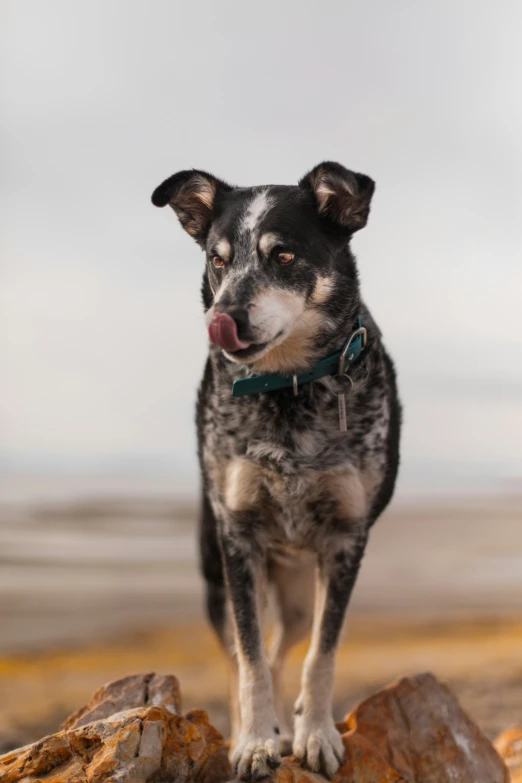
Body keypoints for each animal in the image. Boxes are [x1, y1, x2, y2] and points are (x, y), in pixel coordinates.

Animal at [150, 162, 398, 780]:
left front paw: (316, 736)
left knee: (290, 650)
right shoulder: (238, 538)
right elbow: (250, 661)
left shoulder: (346, 540)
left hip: (300, 595)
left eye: (283, 255)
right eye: (218, 260)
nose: (222, 319)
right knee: (246, 656)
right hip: (222, 577)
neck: (287, 388)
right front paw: (256, 742)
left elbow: (321, 655)